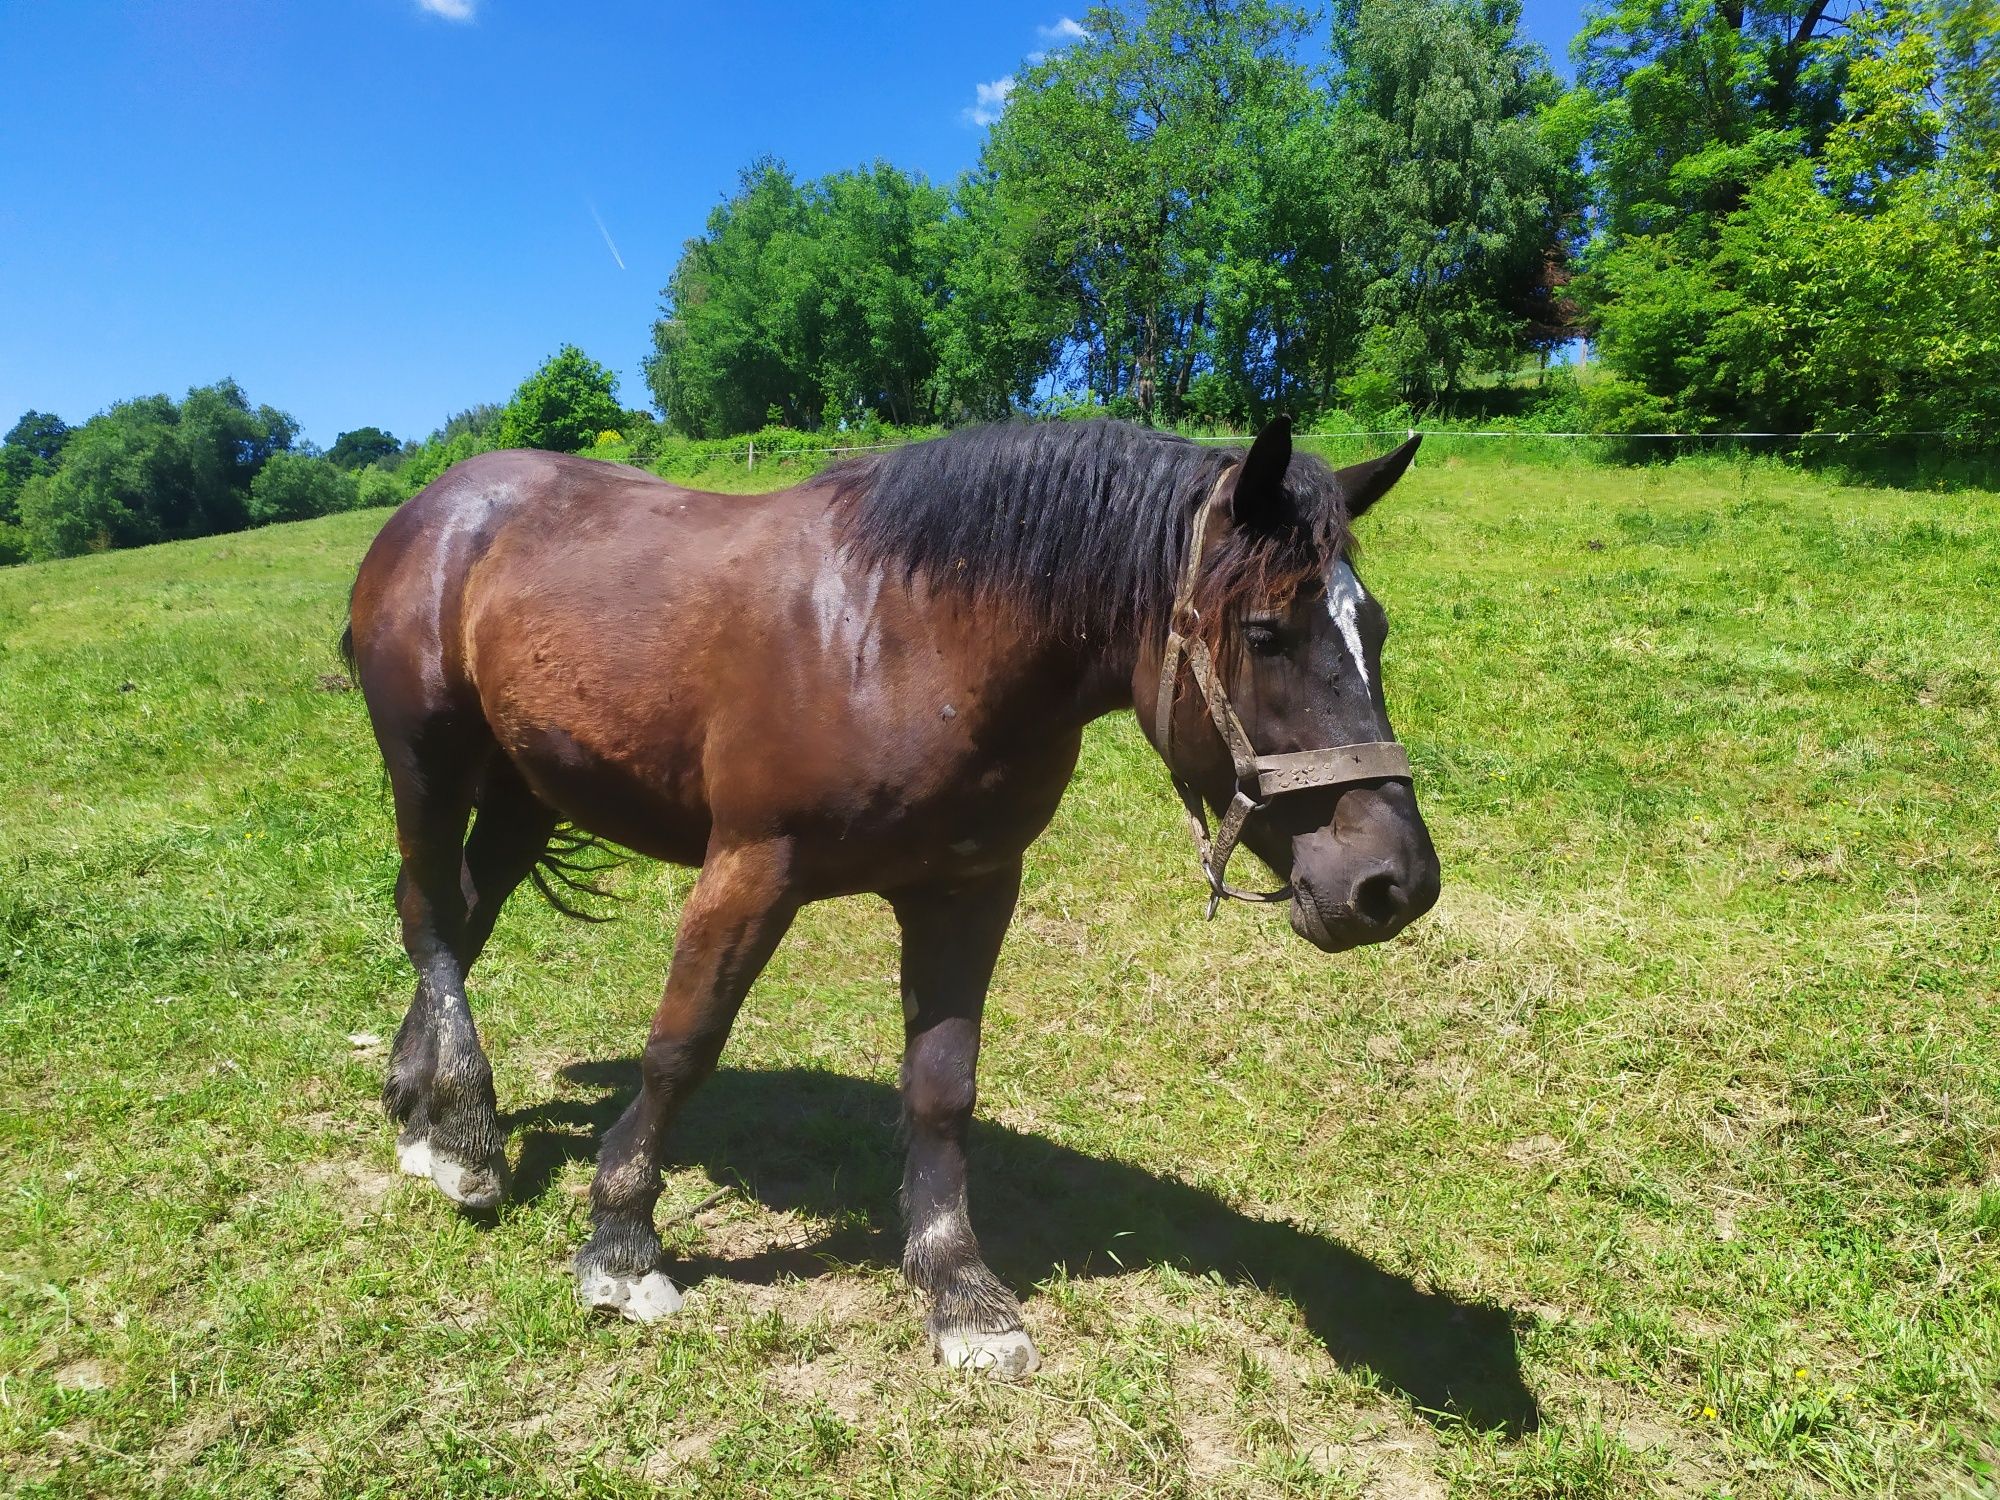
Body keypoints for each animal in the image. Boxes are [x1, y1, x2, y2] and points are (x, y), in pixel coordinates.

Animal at [344, 418, 1440, 1384]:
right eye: (1265, 632)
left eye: (1376, 629)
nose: (1392, 884)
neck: (905, 635)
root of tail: (436, 506)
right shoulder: (750, 869)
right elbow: (680, 1048)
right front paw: (620, 1244)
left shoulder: (967, 889)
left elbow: (942, 1085)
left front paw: (960, 1292)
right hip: (426, 763)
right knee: (431, 918)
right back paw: (466, 1138)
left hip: (525, 789)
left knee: (461, 917)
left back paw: (419, 1107)